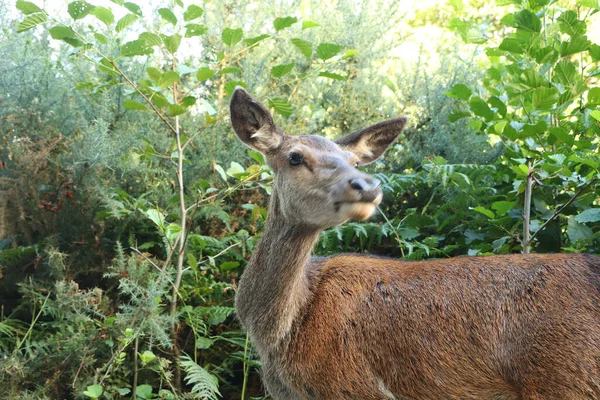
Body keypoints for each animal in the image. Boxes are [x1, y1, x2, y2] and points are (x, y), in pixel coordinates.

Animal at [230, 86, 600, 400]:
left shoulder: (356, 385)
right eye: (294, 157)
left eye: (354, 161)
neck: (279, 335)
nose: (366, 185)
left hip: (565, 379)